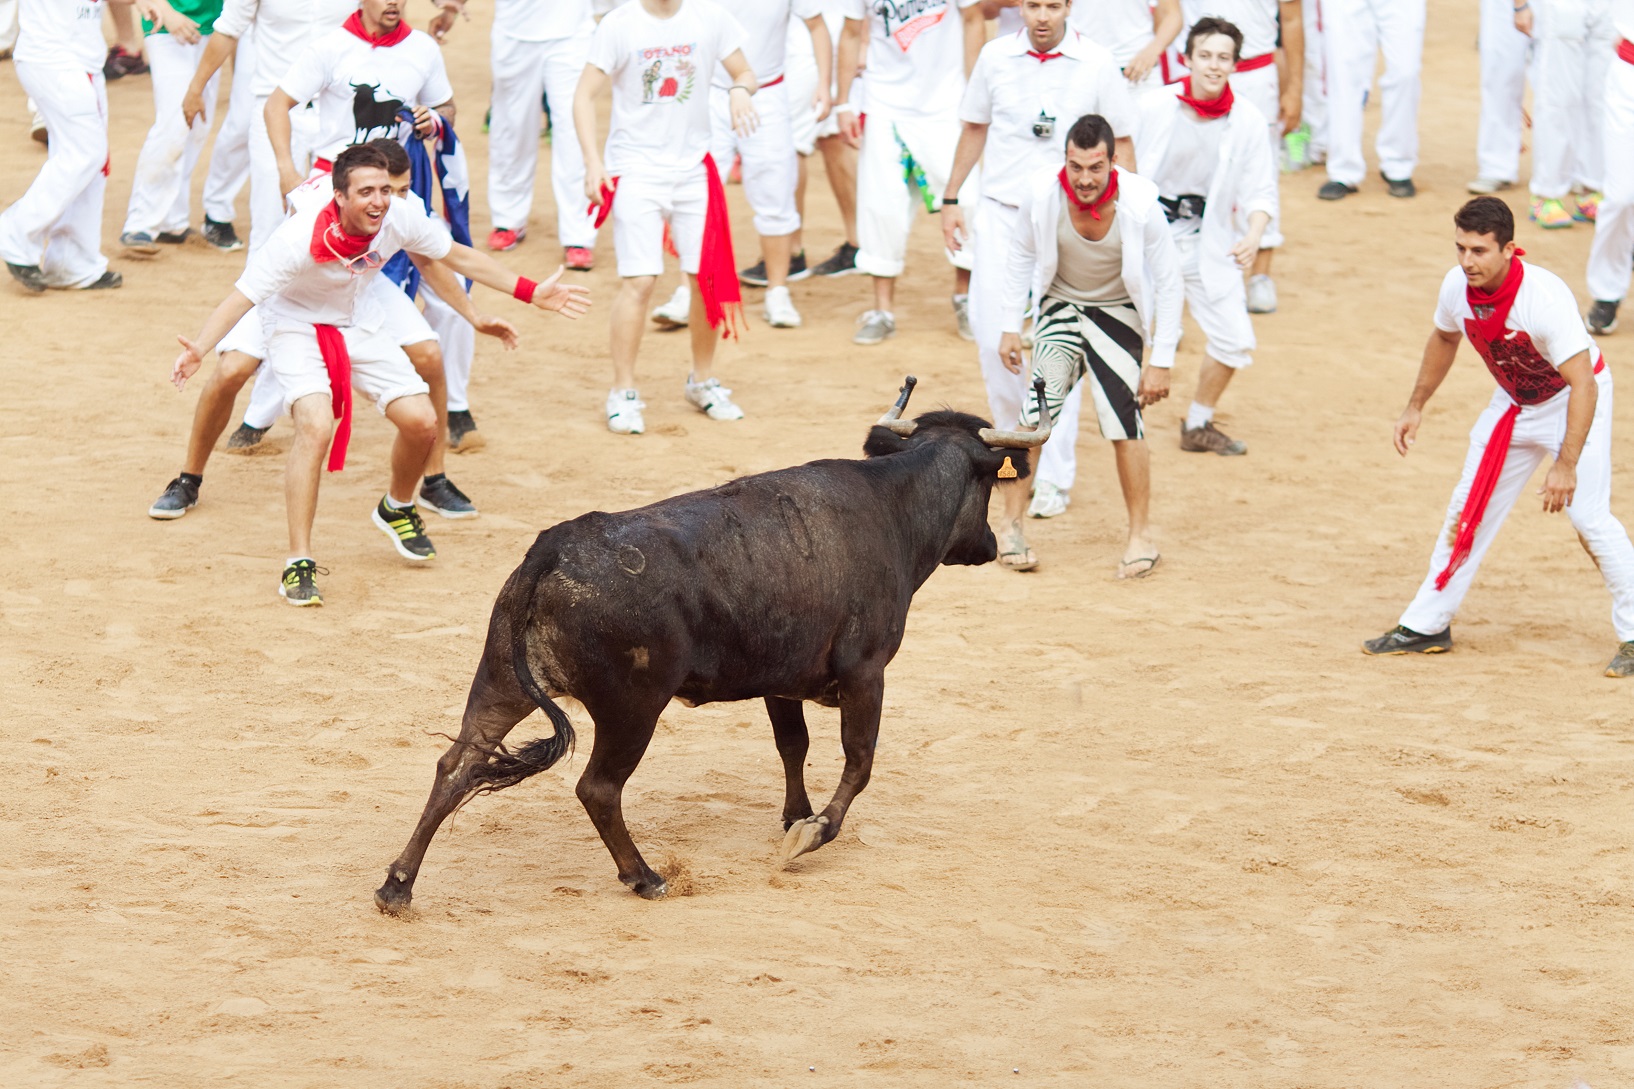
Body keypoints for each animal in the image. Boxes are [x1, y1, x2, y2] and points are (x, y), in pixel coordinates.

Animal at [373, 378, 1050, 914]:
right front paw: (811, 833)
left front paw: (793, 816)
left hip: (501, 682)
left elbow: (793, 746)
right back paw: (645, 877)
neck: (893, 506)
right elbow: (858, 761)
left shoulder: (783, 681)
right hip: (632, 709)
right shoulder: (867, 673)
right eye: (991, 487)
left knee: (457, 765)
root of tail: (553, 547)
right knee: (597, 788)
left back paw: (397, 886)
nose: (991, 545)